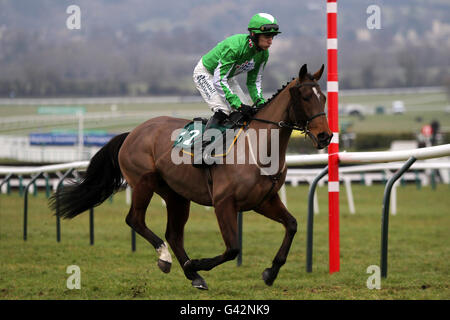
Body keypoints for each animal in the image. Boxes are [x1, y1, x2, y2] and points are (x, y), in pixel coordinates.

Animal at [50, 64, 330, 290]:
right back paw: (167, 260)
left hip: (176, 195)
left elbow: (292, 225)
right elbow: (233, 248)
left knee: (173, 234)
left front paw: (270, 272)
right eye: (306, 96)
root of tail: (133, 132)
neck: (258, 147)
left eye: (324, 98)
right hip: (144, 182)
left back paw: (193, 275)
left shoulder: (263, 201)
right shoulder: (223, 203)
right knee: (135, 220)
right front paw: (198, 262)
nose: (325, 136)